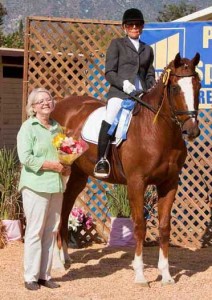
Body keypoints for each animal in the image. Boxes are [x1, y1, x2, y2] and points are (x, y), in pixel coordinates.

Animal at [51, 52, 200, 284]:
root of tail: (60, 104)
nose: (191, 131)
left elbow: (164, 227)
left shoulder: (169, 184)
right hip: (61, 170)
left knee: (67, 206)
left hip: (78, 175)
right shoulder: (136, 183)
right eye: (175, 88)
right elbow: (139, 226)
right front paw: (140, 275)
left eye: (198, 86)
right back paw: (57, 263)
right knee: (59, 209)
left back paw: (65, 257)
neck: (157, 130)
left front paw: (166, 275)